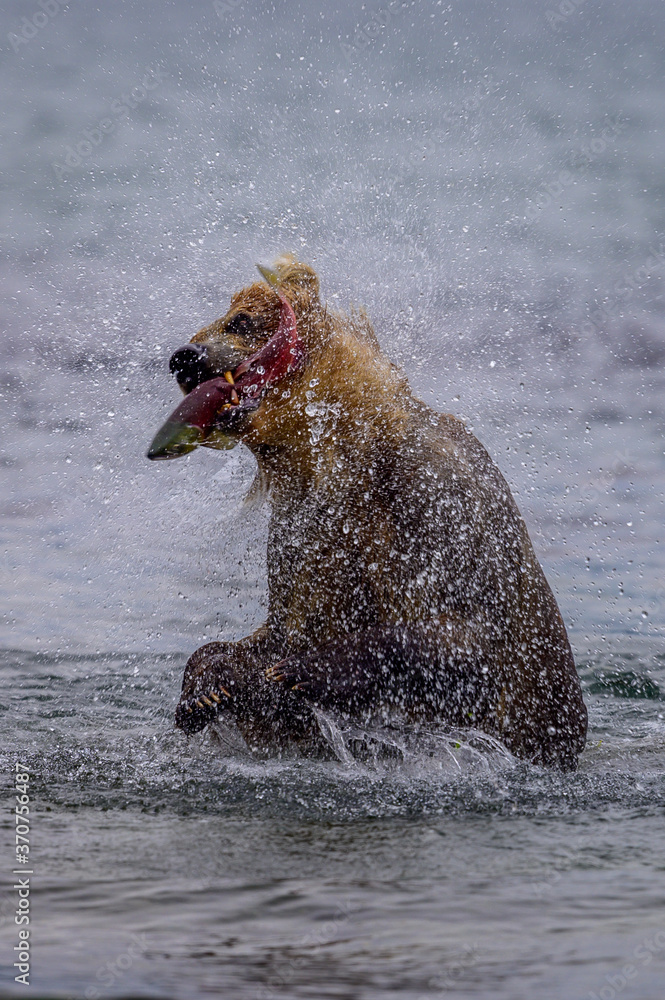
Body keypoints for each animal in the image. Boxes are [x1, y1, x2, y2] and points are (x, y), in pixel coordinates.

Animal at [147, 256, 587, 770]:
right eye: (211, 321)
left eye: (239, 321)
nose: (184, 356)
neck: (341, 450)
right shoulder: (302, 521)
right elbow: (278, 623)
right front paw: (206, 685)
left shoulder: (432, 494)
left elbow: (467, 635)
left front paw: (298, 672)